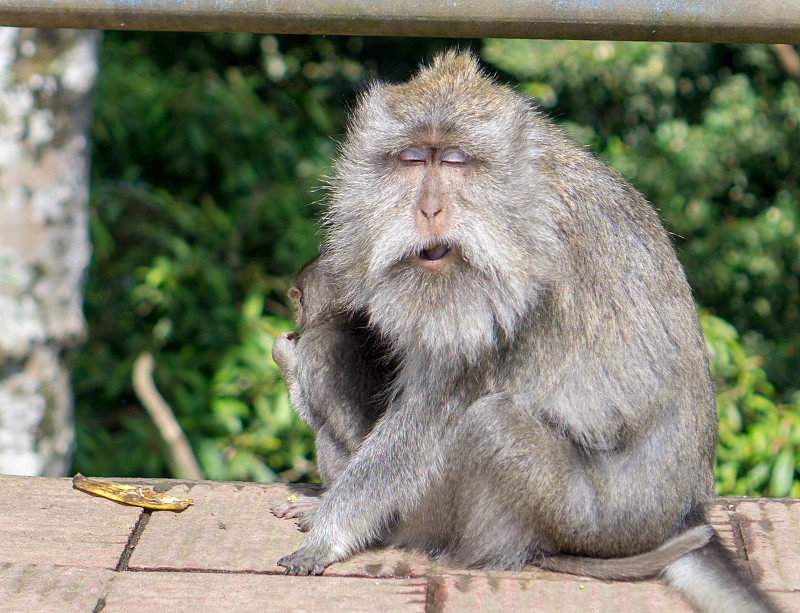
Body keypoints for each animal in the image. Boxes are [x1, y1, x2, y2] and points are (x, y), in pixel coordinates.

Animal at [276, 52, 780, 612]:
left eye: (455, 161)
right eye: (412, 158)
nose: (428, 209)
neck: (526, 198)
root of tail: (685, 514)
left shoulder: (510, 291)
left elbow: (418, 428)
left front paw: (327, 533)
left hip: (590, 518)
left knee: (491, 425)